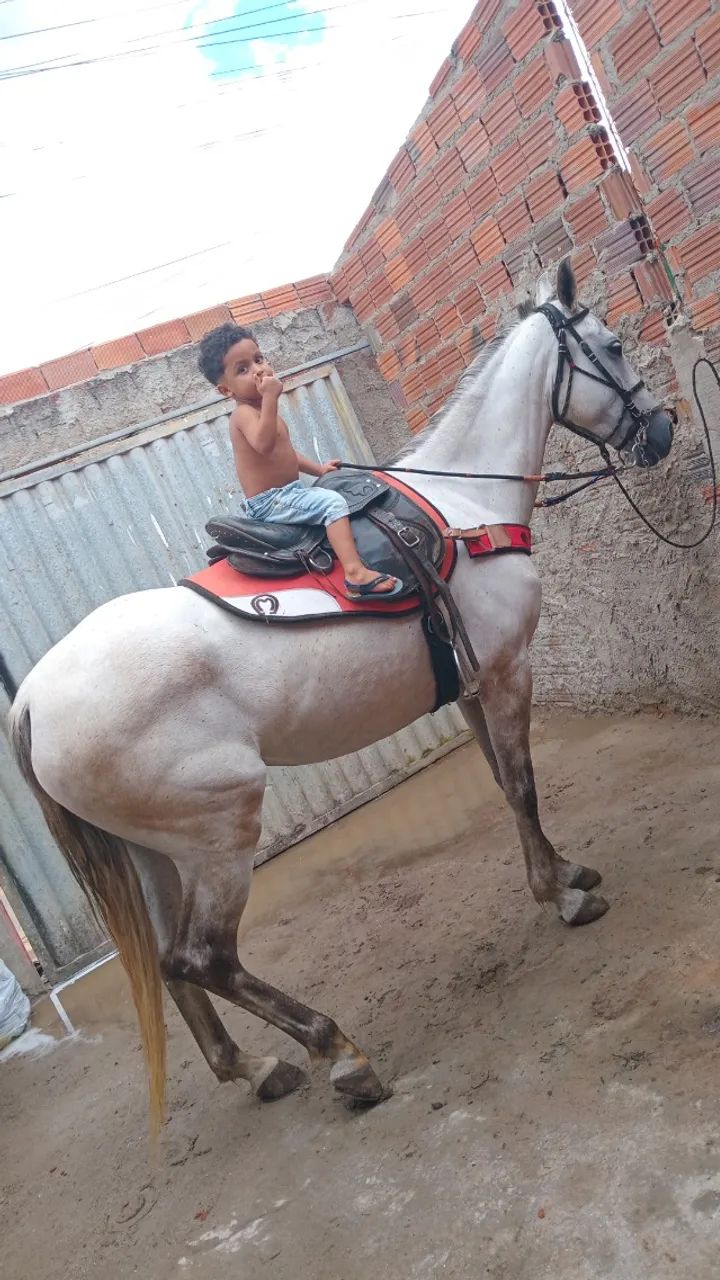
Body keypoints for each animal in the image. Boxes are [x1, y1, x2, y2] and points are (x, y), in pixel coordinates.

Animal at [8, 261, 674, 1134]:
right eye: (614, 345)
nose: (662, 430)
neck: (465, 511)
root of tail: (32, 700)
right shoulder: (507, 670)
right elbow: (525, 784)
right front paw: (560, 895)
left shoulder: (469, 683)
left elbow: (505, 782)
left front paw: (564, 871)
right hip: (220, 833)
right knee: (202, 956)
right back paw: (341, 1053)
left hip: (153, 851)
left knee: (165, 965)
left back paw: (255, 1068)